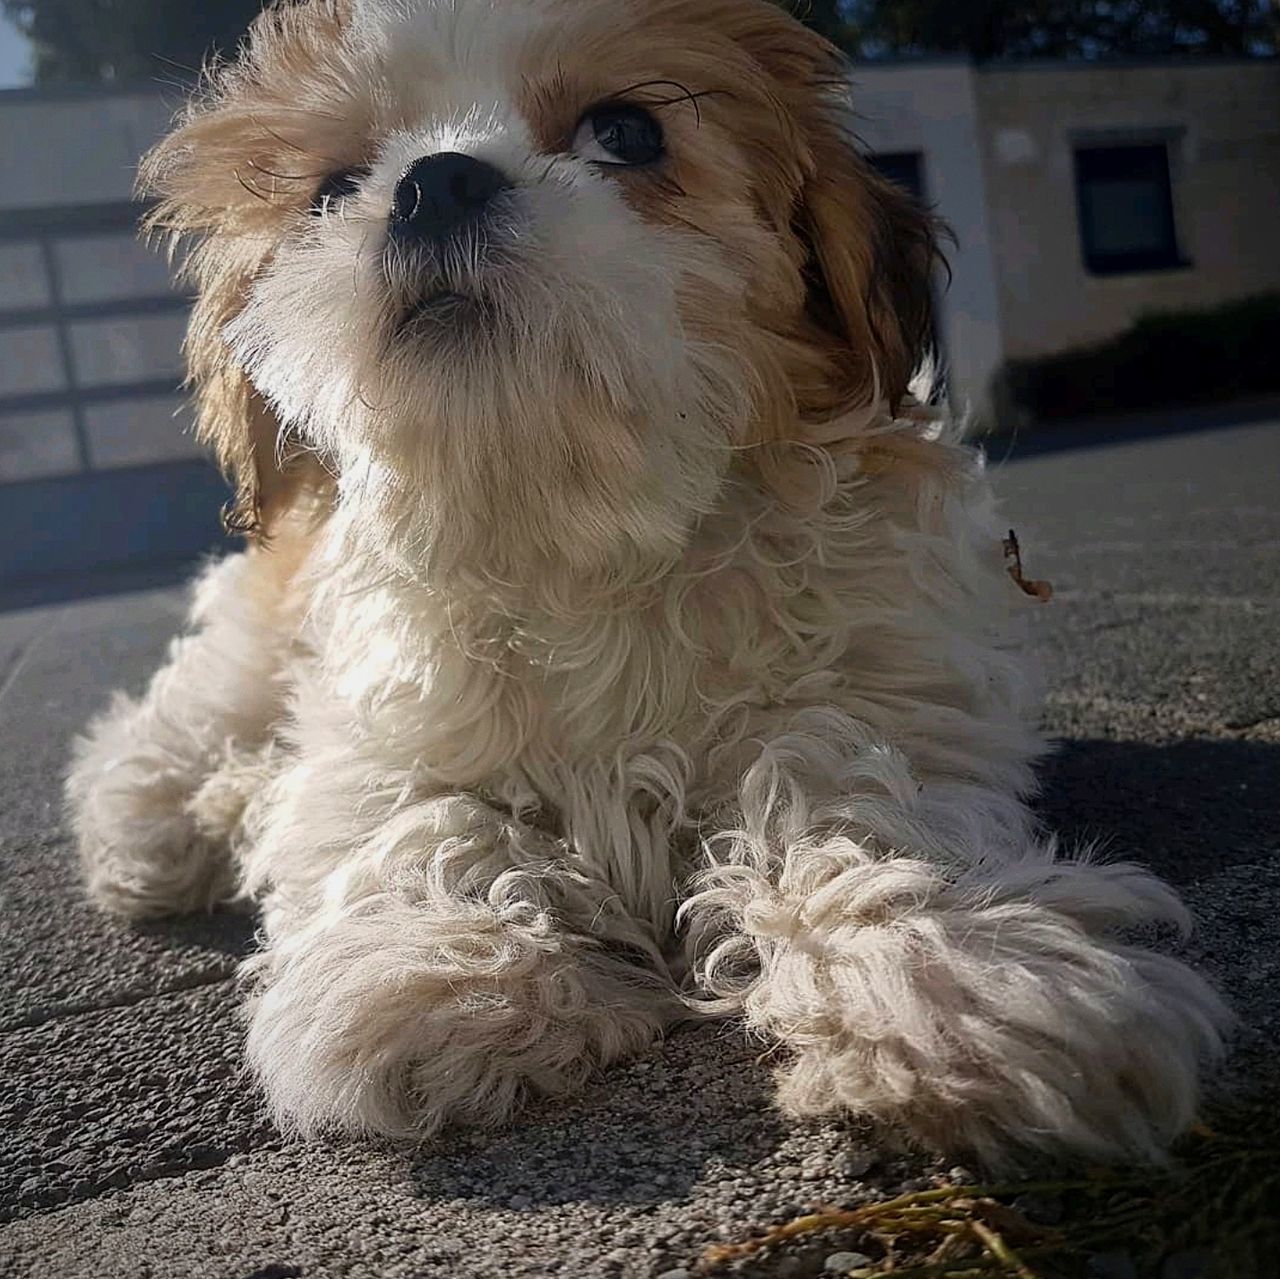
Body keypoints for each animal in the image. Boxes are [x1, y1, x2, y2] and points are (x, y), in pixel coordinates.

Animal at [67, 0, 1228, 1167]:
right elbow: (416, 816)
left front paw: (951, 977)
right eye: (333, 187)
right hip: (254, 641)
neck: (583, 523)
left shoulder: (885, 683)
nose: (435, 180)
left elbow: (850, 795)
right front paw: (439, 973)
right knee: (179, 720)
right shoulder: (373, 724)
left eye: (625, 133)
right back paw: (166, 822)